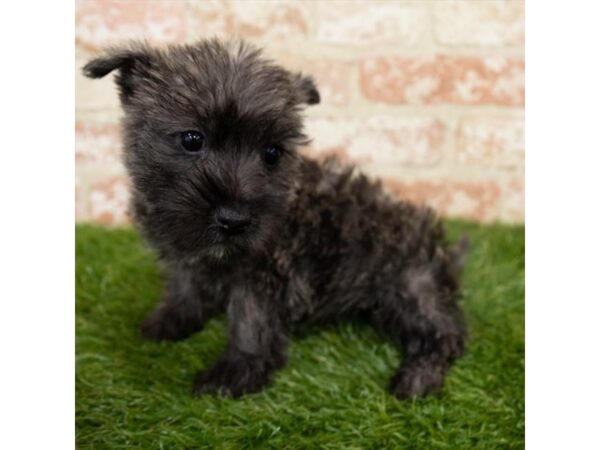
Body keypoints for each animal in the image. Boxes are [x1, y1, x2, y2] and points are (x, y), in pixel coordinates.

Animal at [83, 37, 468, 398]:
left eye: (272, 153)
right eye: (192, 139)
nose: (235, 219)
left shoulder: (265, 273)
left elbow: (250, 323)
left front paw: (235, 374)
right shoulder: (185, 255)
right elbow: (184, 287)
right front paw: (169, 322)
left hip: (409, 283)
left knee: (445, 333)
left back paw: (417, 378)